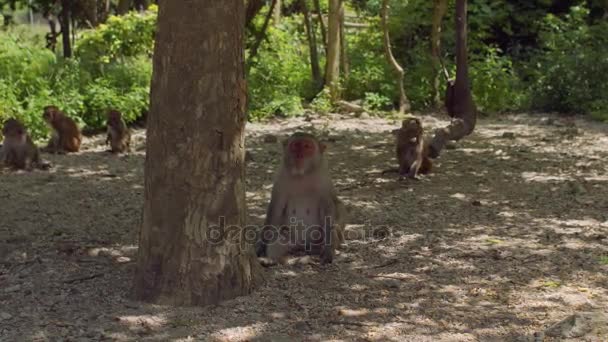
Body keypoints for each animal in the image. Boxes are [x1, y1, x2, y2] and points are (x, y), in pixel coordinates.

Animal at [254, 132, 344, 264]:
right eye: (296, 145)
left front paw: (328, 249)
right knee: (279, 241)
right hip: (290, 238)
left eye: (307, 146)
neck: (302, 174)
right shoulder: (280, 180)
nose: (299, 155)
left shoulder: (324, 181)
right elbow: (276, 209)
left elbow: (329, 209)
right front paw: (261, 243)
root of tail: (302, 246)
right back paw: (272, 260)